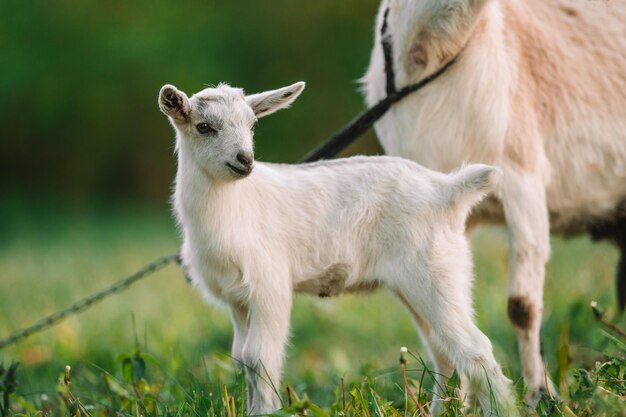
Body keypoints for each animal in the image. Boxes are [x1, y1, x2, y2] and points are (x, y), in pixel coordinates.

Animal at [158, 79, 516, 414]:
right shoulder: (238, 301)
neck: (234, 208)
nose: (244, 161)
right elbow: (242, 358)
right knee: (444, 354)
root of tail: (447, 189)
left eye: (253, 125)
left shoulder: (269, 288)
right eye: (204, 127)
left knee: (475, 349)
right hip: (428, 283)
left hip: (435, 274)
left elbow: (259, 358)